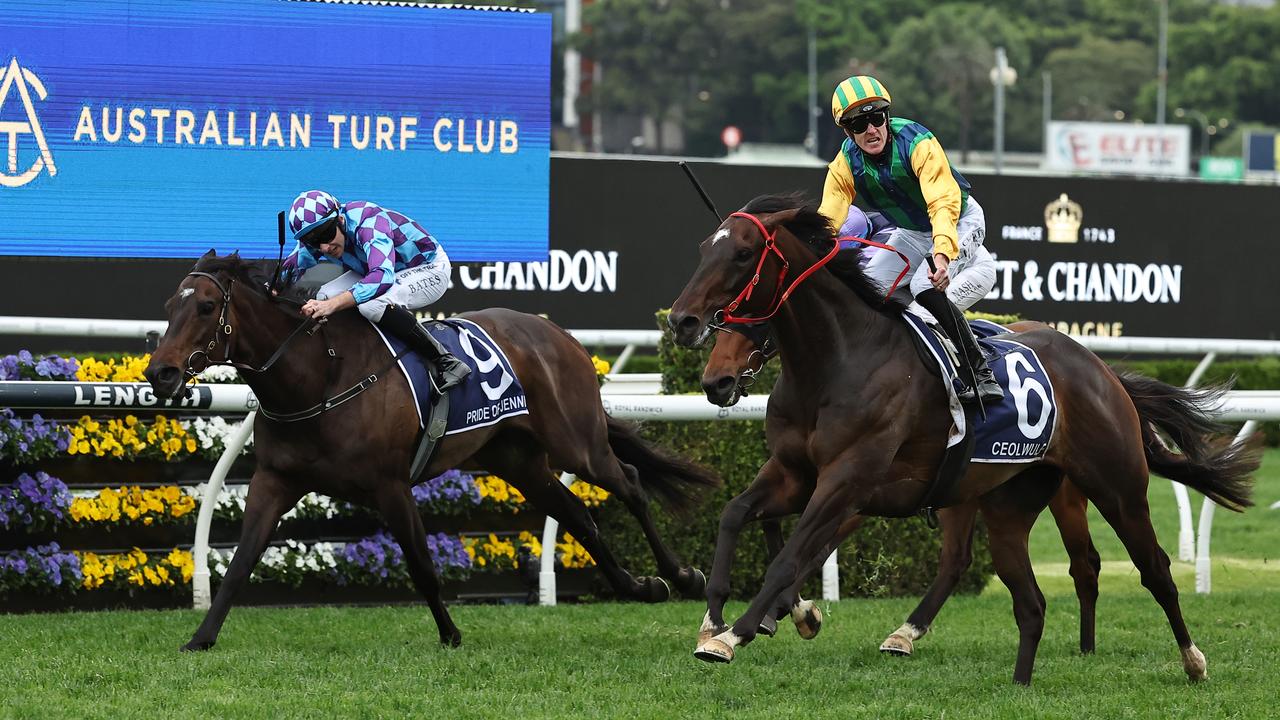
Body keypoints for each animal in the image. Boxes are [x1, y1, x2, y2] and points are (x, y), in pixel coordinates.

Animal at [144, 252, 721, 650]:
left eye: (205, 306)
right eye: (169, 307)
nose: (160, 373)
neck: (319, 376)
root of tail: (559, 334)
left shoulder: (390, 485)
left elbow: (422, 565)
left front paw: (450, 634)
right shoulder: (274, 480)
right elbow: (239, 562)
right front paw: (200, 638)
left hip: (578, 445)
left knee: (630, 484)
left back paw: (681, 576)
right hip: (517, 460)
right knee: (578, 515)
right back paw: (642, 587)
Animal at [701, 319, 1100, 655]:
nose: (717, 380)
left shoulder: (852, 487)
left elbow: (808, 547)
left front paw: (784, 613)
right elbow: (778, 529)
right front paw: (779, 613)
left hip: (1061, 495)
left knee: (1084, 561)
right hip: (964, 491)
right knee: (957, 558)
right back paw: (905, 632)